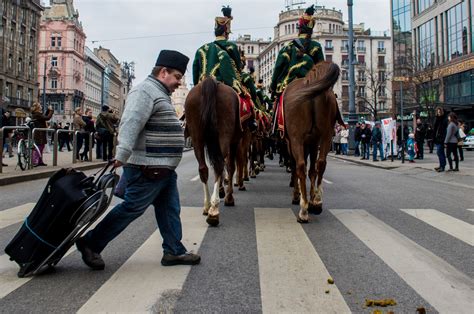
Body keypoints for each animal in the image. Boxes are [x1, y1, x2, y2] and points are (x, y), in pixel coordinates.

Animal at [185, 78, 243, 226]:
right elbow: (231, 167)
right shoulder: (235, 142)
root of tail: (210, 81)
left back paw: (207, 206)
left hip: (197, 138)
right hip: (224, 136)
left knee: (204, 169)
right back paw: (214, 209)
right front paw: (228, 197)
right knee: (219, 166)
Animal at [282, 60, 344, 223]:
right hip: (326, 136)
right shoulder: (314, 142)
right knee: (320, 164)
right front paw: (312, 199)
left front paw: (298, 196)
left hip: (297, 139)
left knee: (300, 166)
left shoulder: (294, 143)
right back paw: (317, 202)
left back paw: (303, 210)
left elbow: (299, 169)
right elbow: (313, 171)